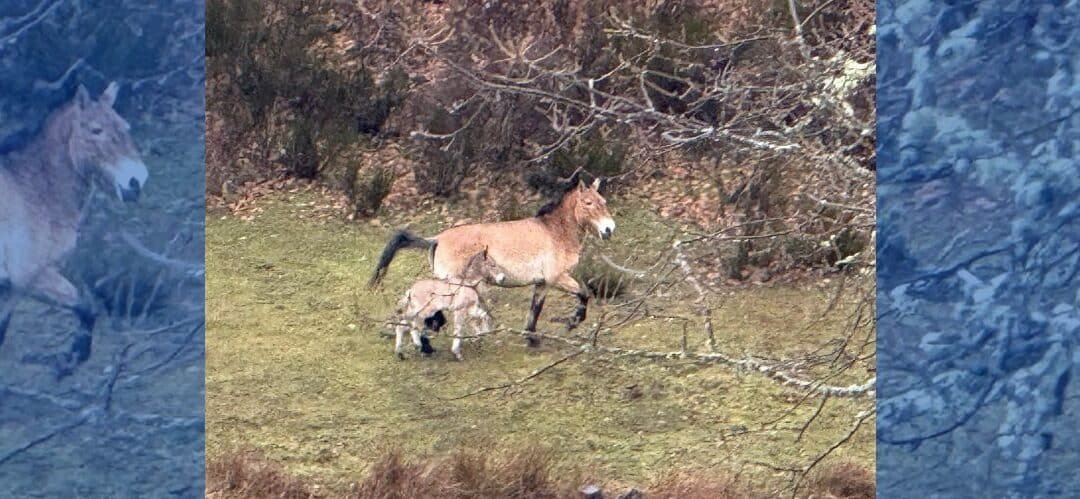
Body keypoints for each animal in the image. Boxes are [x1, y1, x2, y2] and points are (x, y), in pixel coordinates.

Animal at [0, 82, 150, 376]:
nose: (136, 180)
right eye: (96, 130)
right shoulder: (30, 277)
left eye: (125, 127)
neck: (32, 189)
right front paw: (70, 361)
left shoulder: (12, 289)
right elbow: (86, 306)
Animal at [370, 171, 614, 346]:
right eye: (588, 203)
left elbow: (535, 311)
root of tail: (437, 239)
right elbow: (584, 294)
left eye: (603, 201)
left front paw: (531, 338)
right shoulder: (558, 278)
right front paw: (572, 323)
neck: (554, 232)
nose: (609, 229)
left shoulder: (543, 284)